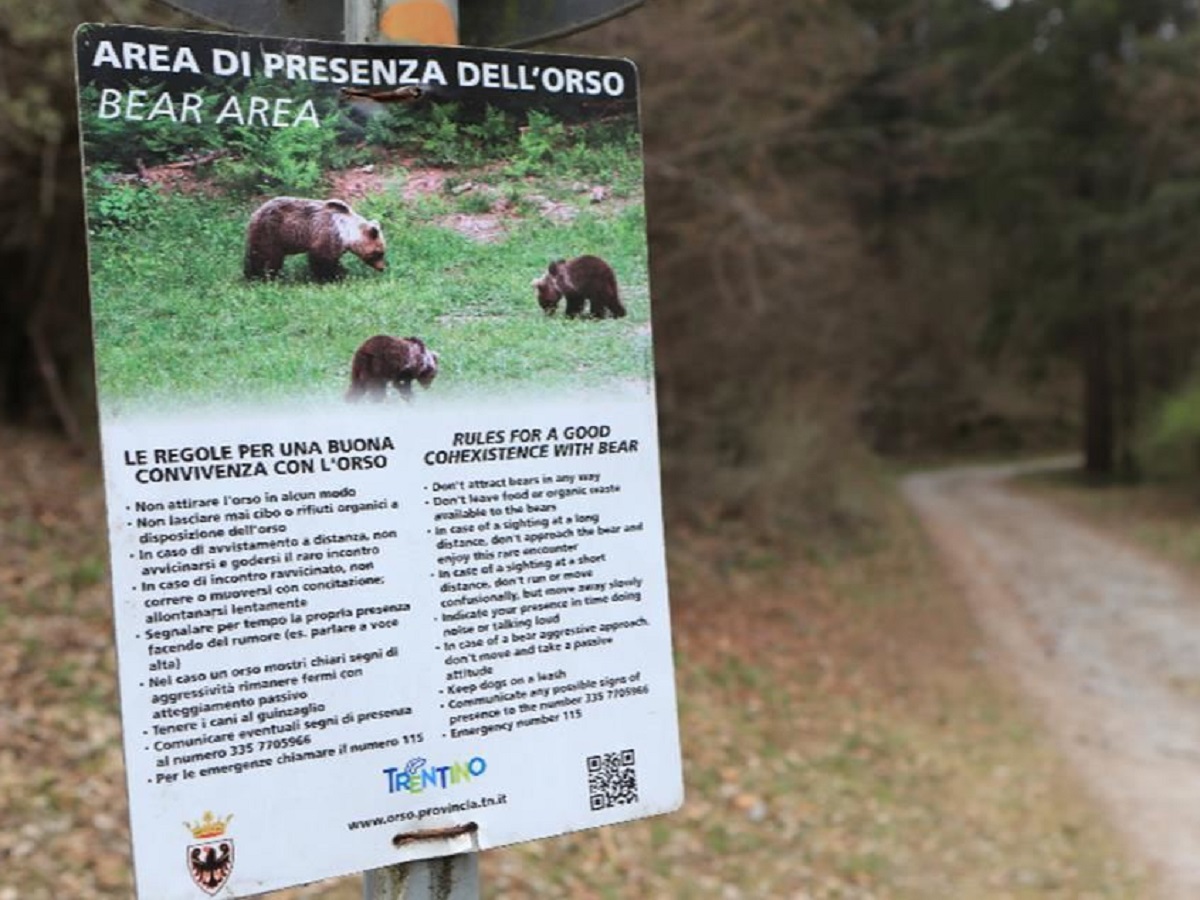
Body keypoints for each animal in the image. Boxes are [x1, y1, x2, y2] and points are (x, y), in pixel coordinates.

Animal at [246, 196, 386, 282]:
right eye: (379, 253)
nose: (382, 268)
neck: (347, 232)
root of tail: (255, 212)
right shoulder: (327, 234)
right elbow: (322, 260)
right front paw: (336, 276)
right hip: (272, 233)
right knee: (269, 258)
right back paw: (265, 277)